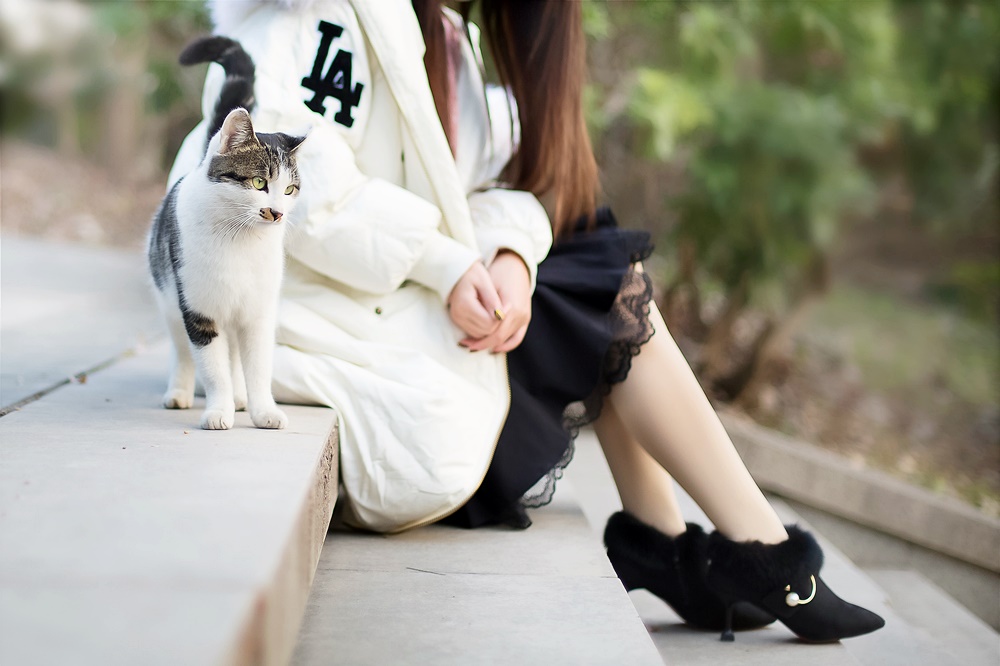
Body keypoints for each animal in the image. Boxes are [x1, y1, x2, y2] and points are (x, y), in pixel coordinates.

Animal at [148, 36, 305, 430]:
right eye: (259, 183)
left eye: (290, 189)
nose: (277, 212)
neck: (240, 241)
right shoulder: (199, 311)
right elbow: (212, 369)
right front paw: (218, 412)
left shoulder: (258, 314)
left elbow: (258, 369)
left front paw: (263, 411)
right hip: (169, 301)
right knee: (182, 352)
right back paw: (180, 393)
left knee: (234, 358)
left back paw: (239, 397)